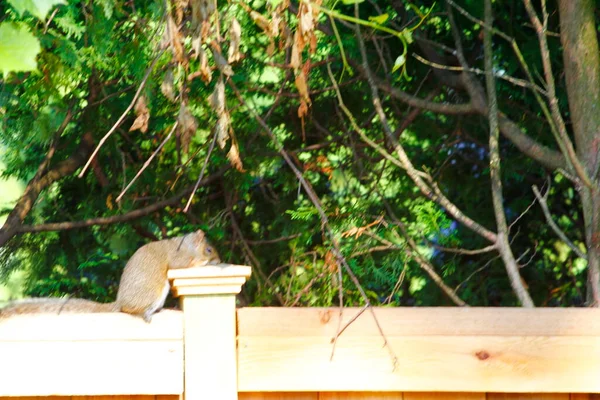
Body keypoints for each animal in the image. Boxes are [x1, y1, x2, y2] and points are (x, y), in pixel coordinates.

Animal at [0, 228, 220, 322]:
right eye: (209, 249)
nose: (218, 259)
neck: (186, 245)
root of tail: (119, 302)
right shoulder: (178, 258)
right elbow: (182, 265)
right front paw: (207, 262)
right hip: (152, 292)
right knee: (134, 311)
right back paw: (147, 312)